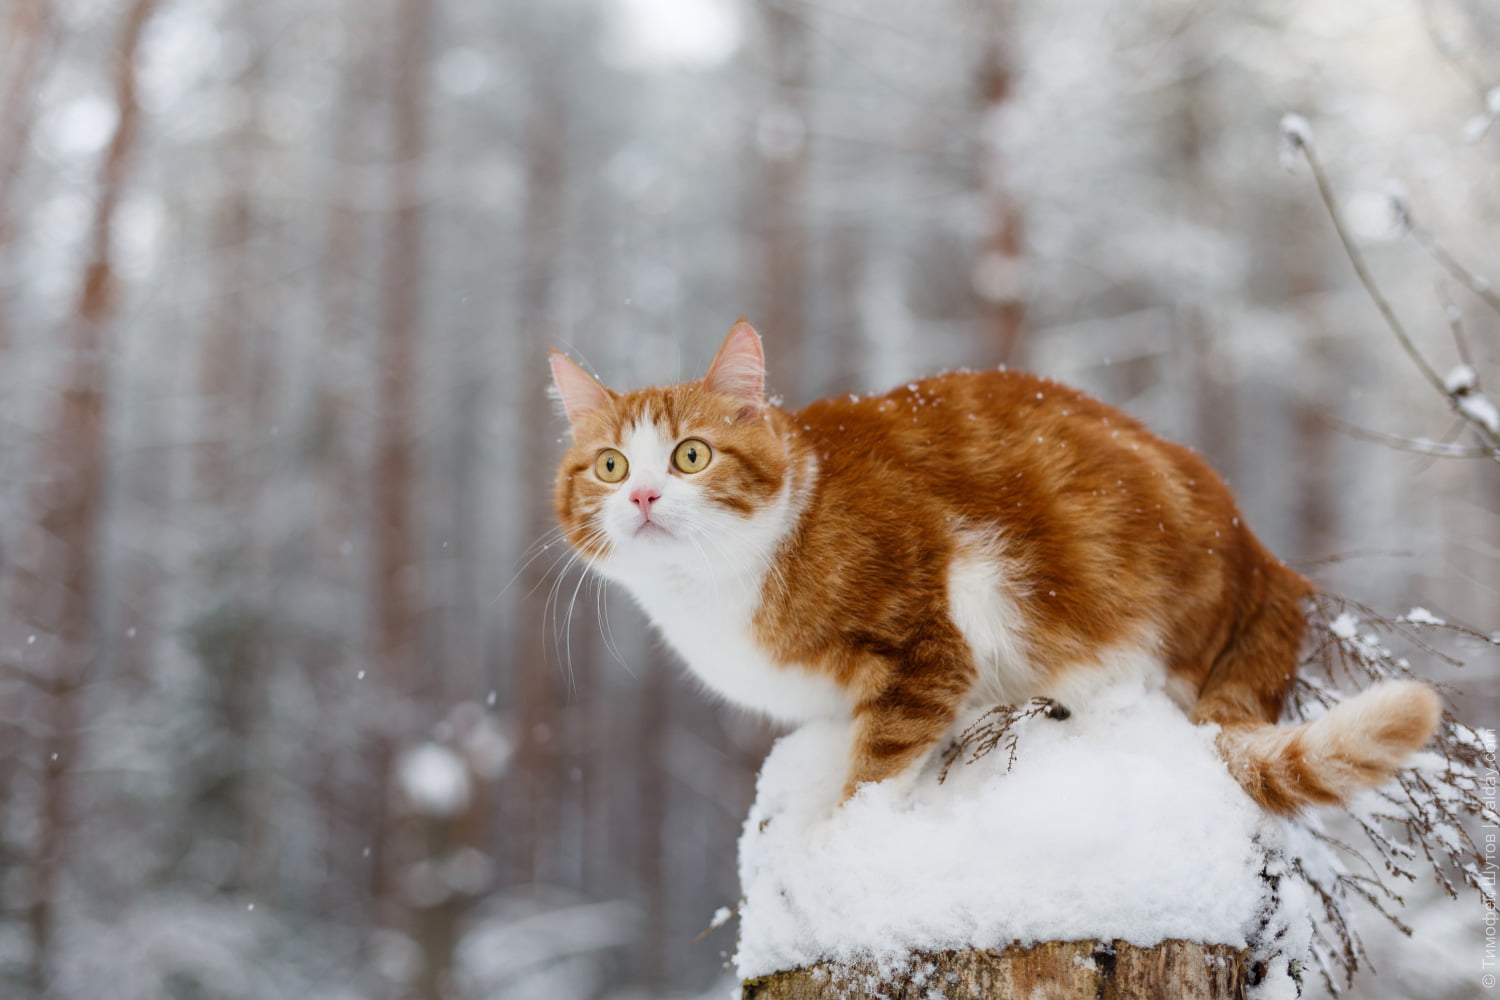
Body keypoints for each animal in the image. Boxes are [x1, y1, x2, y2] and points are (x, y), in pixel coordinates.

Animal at [552, 320, 1440, 815]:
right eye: (608, 467)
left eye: (691, 455)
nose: (642, 496)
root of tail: (1267, 559)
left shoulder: (927, 644)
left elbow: (877, 767)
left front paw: (839, 847)